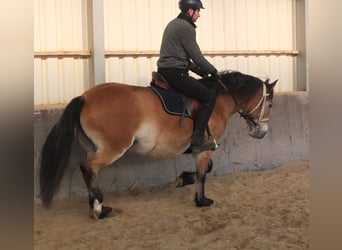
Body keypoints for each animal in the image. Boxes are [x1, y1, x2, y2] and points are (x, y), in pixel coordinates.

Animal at [38, 70, 278, 219]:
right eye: (270, 104)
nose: (262, 132)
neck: (218, 100)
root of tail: (85, 97)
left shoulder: (200, 149)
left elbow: (206, 170)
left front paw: (182, 179)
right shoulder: (205, 148)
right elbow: (203, 173)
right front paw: (201, 200)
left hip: (93, 147)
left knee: (90, 172)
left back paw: (99, 208)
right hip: (113, 147)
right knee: (88, 167)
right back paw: (98, 208)